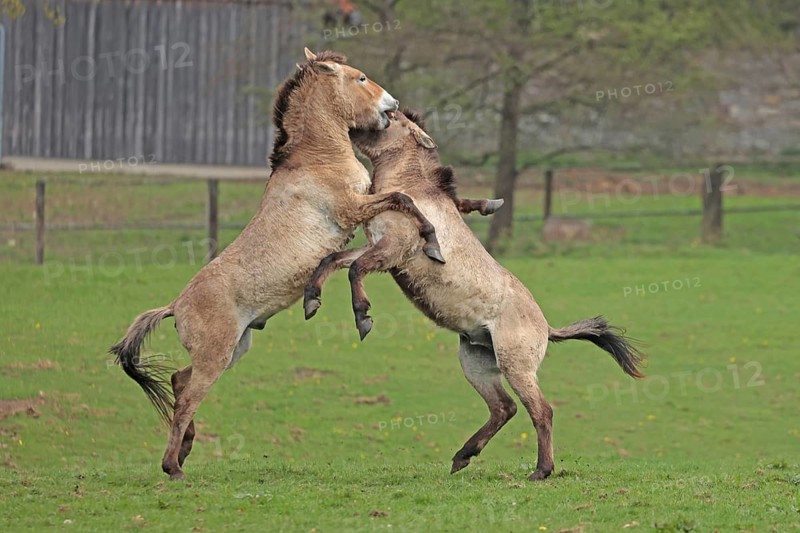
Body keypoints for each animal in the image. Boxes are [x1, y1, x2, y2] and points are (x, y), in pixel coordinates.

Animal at [111, 50, 446, 480]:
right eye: (360, 78)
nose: (393, 105)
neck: (317, 159)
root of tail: (174, 306)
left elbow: (393, 206)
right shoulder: (353, 207)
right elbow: (403, 198)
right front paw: (432, 243)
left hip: (234, 350)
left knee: (179, 380)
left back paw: (184, 451)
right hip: (217, 357)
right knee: (186, 397)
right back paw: (173, 467)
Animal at [303, 110, 646, 481]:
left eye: (392, 116)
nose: (351, 128)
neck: (417, 190)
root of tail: (546, 328)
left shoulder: (393, 250)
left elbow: (354, 269)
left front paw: (363, 317)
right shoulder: (378, 247)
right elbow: (333, 260)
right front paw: (311, 300)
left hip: (516, 367)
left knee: (541, 411)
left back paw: (540, 471)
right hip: (476, 363)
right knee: (503, 408)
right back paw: (463, 456)